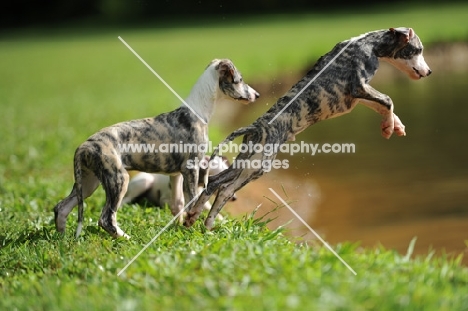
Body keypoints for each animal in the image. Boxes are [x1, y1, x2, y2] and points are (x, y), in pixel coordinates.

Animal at [54, 58, 262, 239]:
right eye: (240, 79)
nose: (257, 95)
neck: (196, 112)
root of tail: (84, 146)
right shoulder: (191, 168)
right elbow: (194, 202)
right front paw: (192, 228)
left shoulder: (176, 174)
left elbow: (178, 204)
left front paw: (179, 229)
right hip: (118, 179)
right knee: (106, 218)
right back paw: (126, 238)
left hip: (89, 182)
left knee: (61, 208)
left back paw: (63, 240)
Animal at [185, 28, 434, 230]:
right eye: (418, 49)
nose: (430, 72)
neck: (367, 43)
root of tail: (256, 126)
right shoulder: (359, 87)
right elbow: (388, 100)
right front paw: (389, 127)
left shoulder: (356, 97)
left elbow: (382, 105)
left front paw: (395, 125)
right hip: (257, 167)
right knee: (224, 188)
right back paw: (201, 221)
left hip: (247, 162)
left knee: (216, 185)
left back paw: (196, 219)